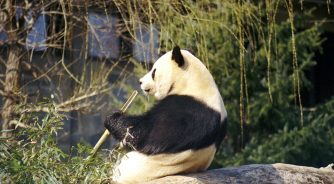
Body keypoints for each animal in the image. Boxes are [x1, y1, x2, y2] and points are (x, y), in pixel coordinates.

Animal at [105, 46, 227, 184]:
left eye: (154, 72)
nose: (140, 82)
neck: (193, 82)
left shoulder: (189, 111)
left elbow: (145, 133)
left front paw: (113, 118)